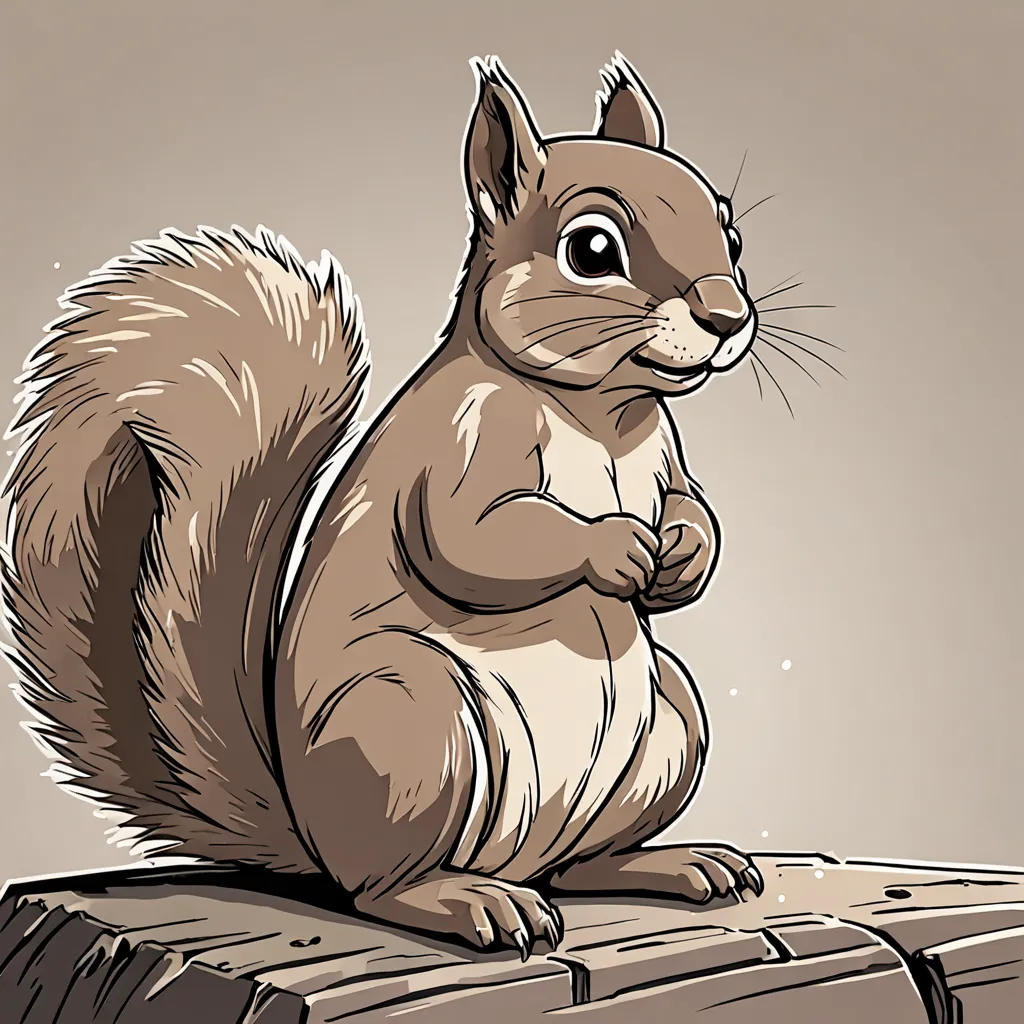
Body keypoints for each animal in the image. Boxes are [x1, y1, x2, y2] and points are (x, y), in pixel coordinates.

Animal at [1, 54, 765, 960]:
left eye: (731, 232)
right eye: (591, 249)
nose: (727, 315)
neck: (600, 413)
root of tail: (310, 833)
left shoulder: (665, 455)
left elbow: (693, 508)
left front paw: (681, 554)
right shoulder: (462, 442)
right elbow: (475, 539)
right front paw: (614, 548)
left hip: (665, 725)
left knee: (581, 863)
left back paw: (673, 864)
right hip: (412, 720)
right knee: (378, 888)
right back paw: (467, 901)